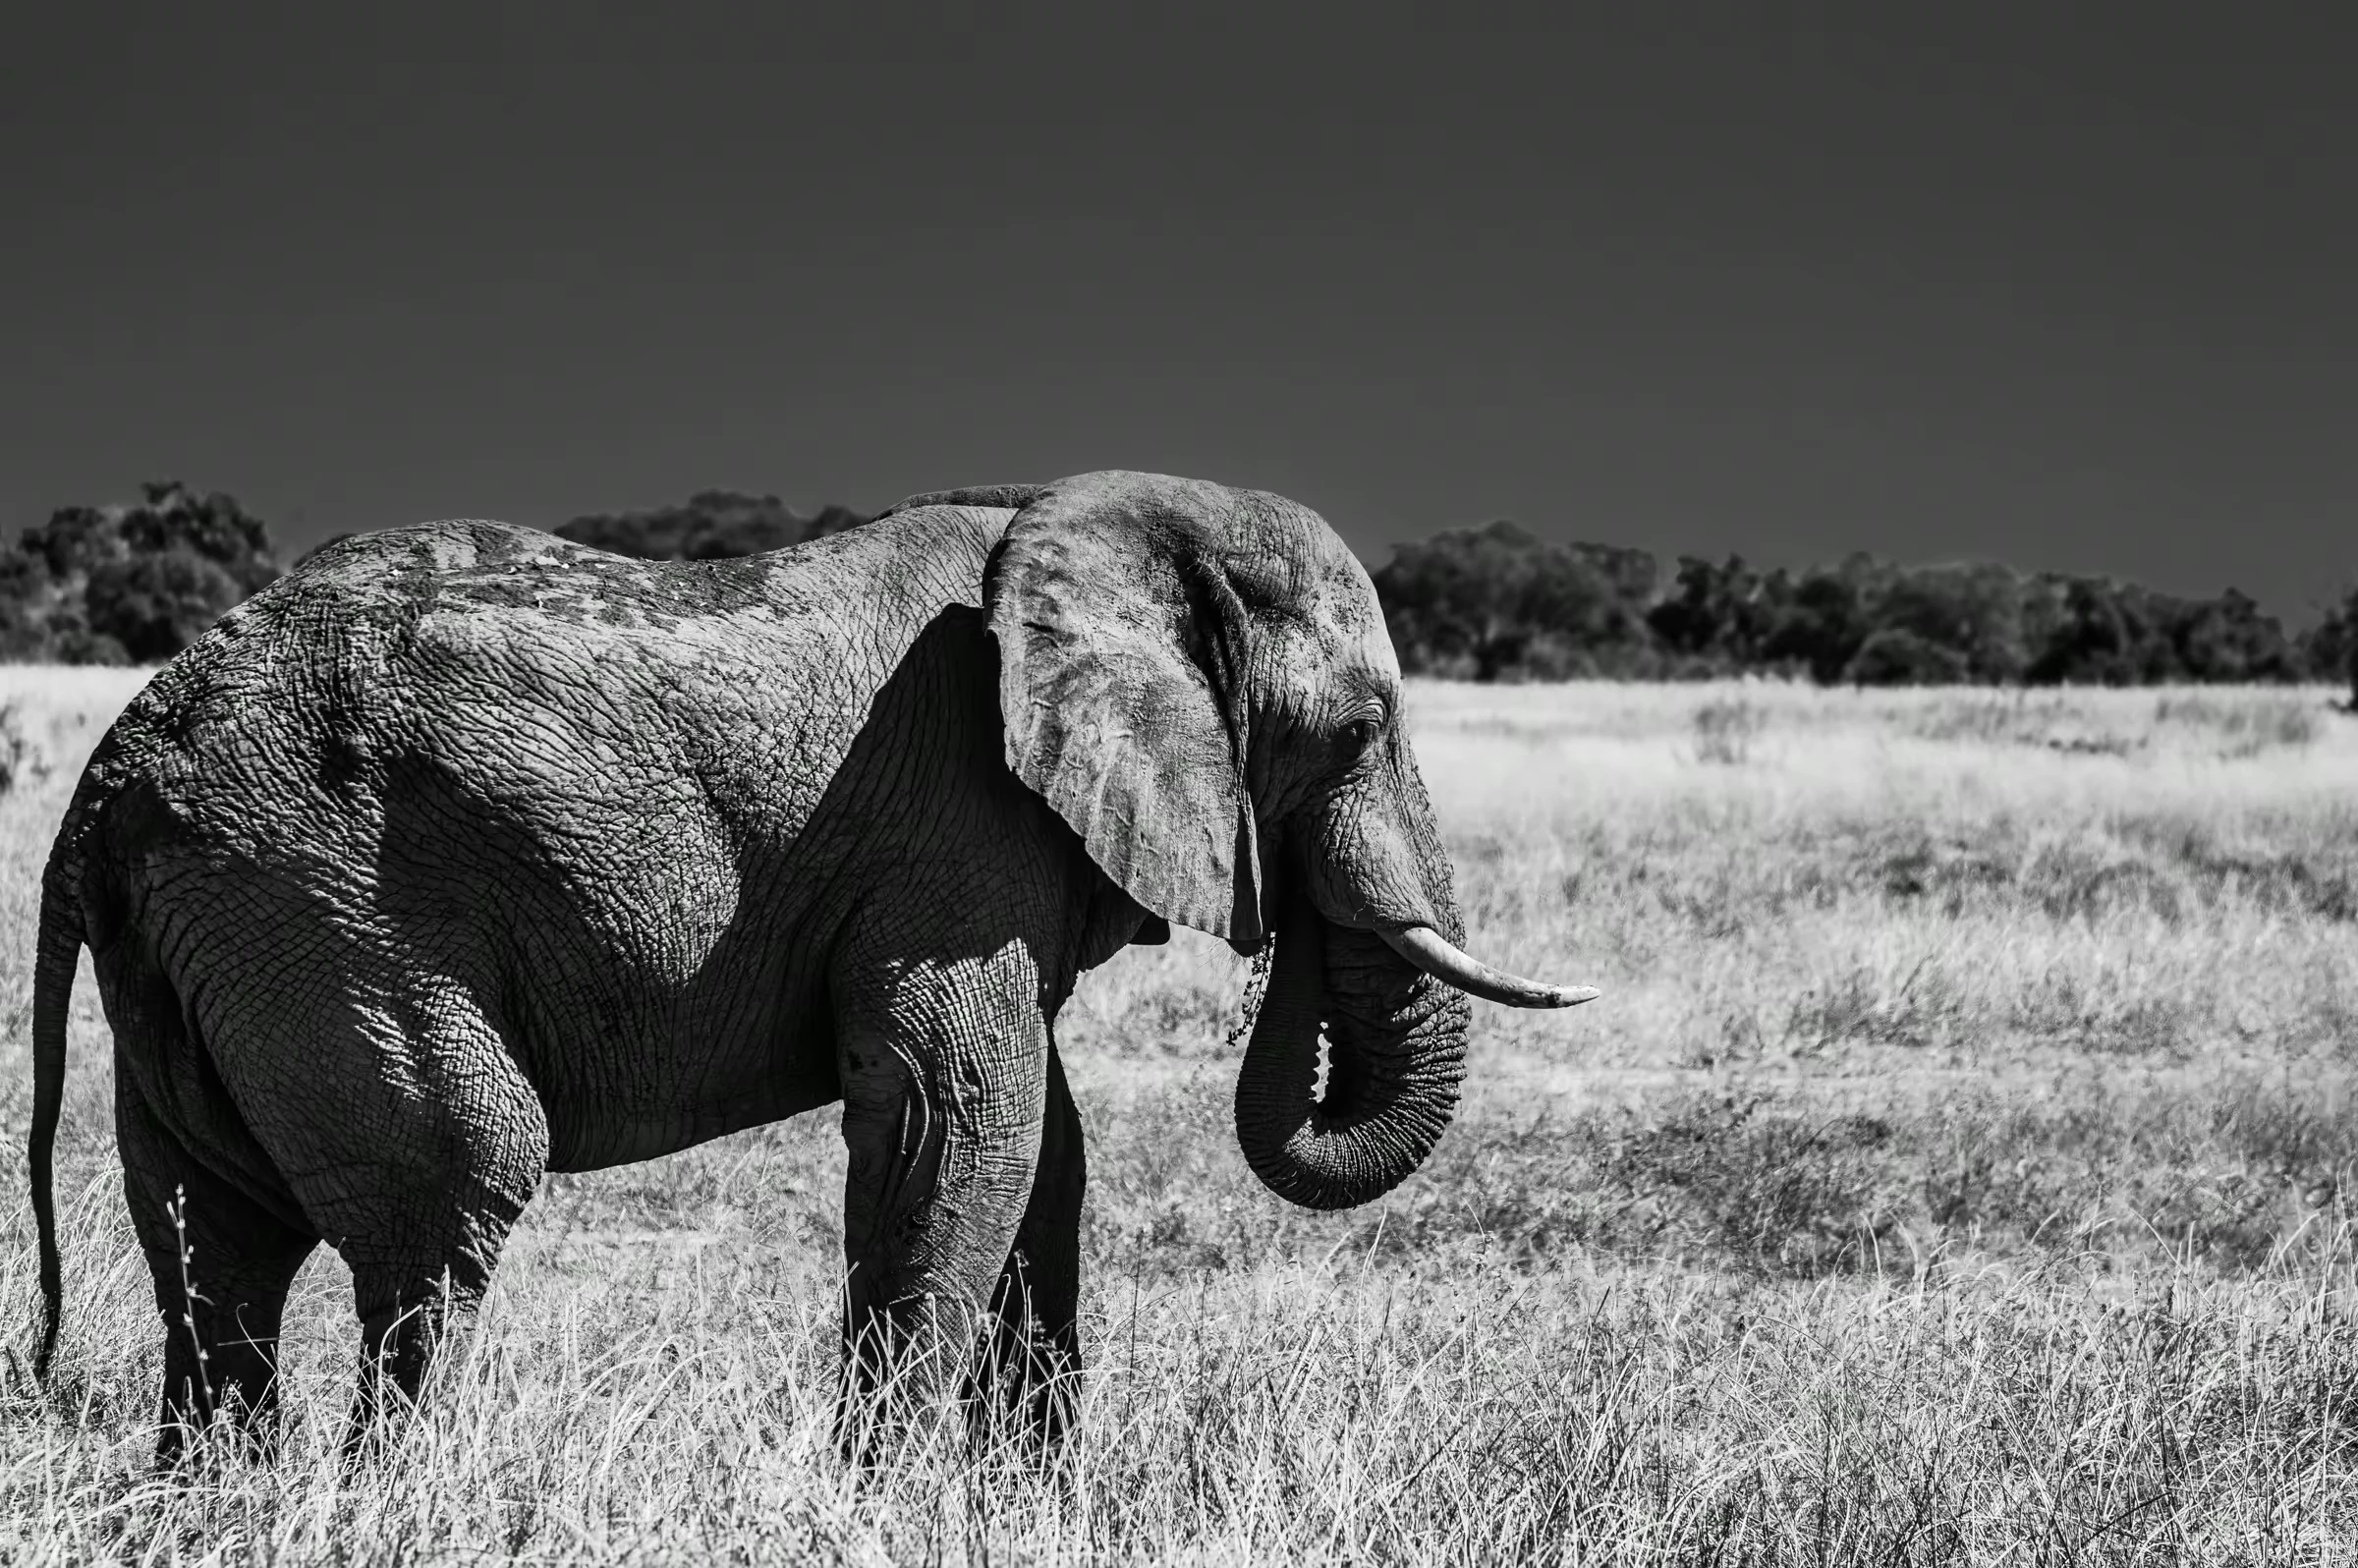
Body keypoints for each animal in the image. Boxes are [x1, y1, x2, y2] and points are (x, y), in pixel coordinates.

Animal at [25, 469, 1595, 1463]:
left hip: (213, 938)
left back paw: (224, 1506)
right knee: (452, 1188)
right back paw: (396, 1504)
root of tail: (105, 779)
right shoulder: (957, 823)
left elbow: (1045, 1149)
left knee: (217, 1241)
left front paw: (1023, 1506)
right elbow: (961, 1116)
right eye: (1360, 729)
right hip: (314, 902)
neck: (1095, 516)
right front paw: (881, 1501)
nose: (1285, 939)